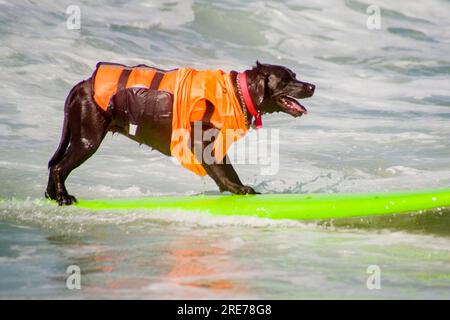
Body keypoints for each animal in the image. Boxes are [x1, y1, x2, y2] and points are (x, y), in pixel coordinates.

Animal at [44, 60, 312, 205]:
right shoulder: (202, 144)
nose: (312, 86)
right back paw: (64, 197)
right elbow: (223, 173)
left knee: (55, 165)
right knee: (59, 167)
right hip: (88, 138)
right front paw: (239, 189)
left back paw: (52, 196)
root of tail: (81, 85)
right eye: (286, 80)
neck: (235, 92)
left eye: (295, 76)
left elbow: (228, 168)